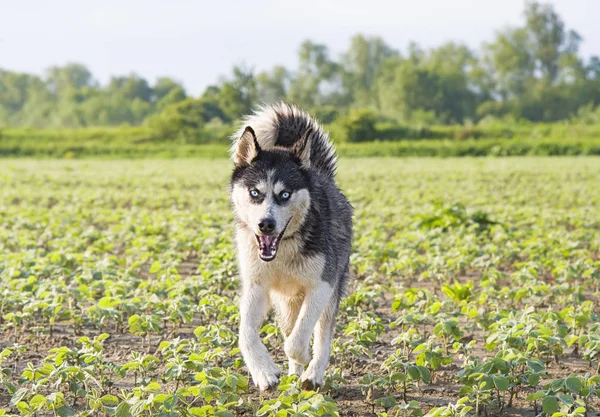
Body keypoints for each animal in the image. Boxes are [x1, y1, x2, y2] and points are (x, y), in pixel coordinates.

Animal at [229, 102, 352, 388]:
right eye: (255, 193)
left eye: (284, 194)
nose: (266, 224)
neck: (283, 250)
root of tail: (320, 175)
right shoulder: (256, 286)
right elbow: (246, 334)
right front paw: (264, 372)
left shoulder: (322, 285)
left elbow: (297, 340)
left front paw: (303, 357)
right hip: (285, 302)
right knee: (290, 326)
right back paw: (293, 377)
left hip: (331, 292)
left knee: (322, 337)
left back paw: (312, 375)